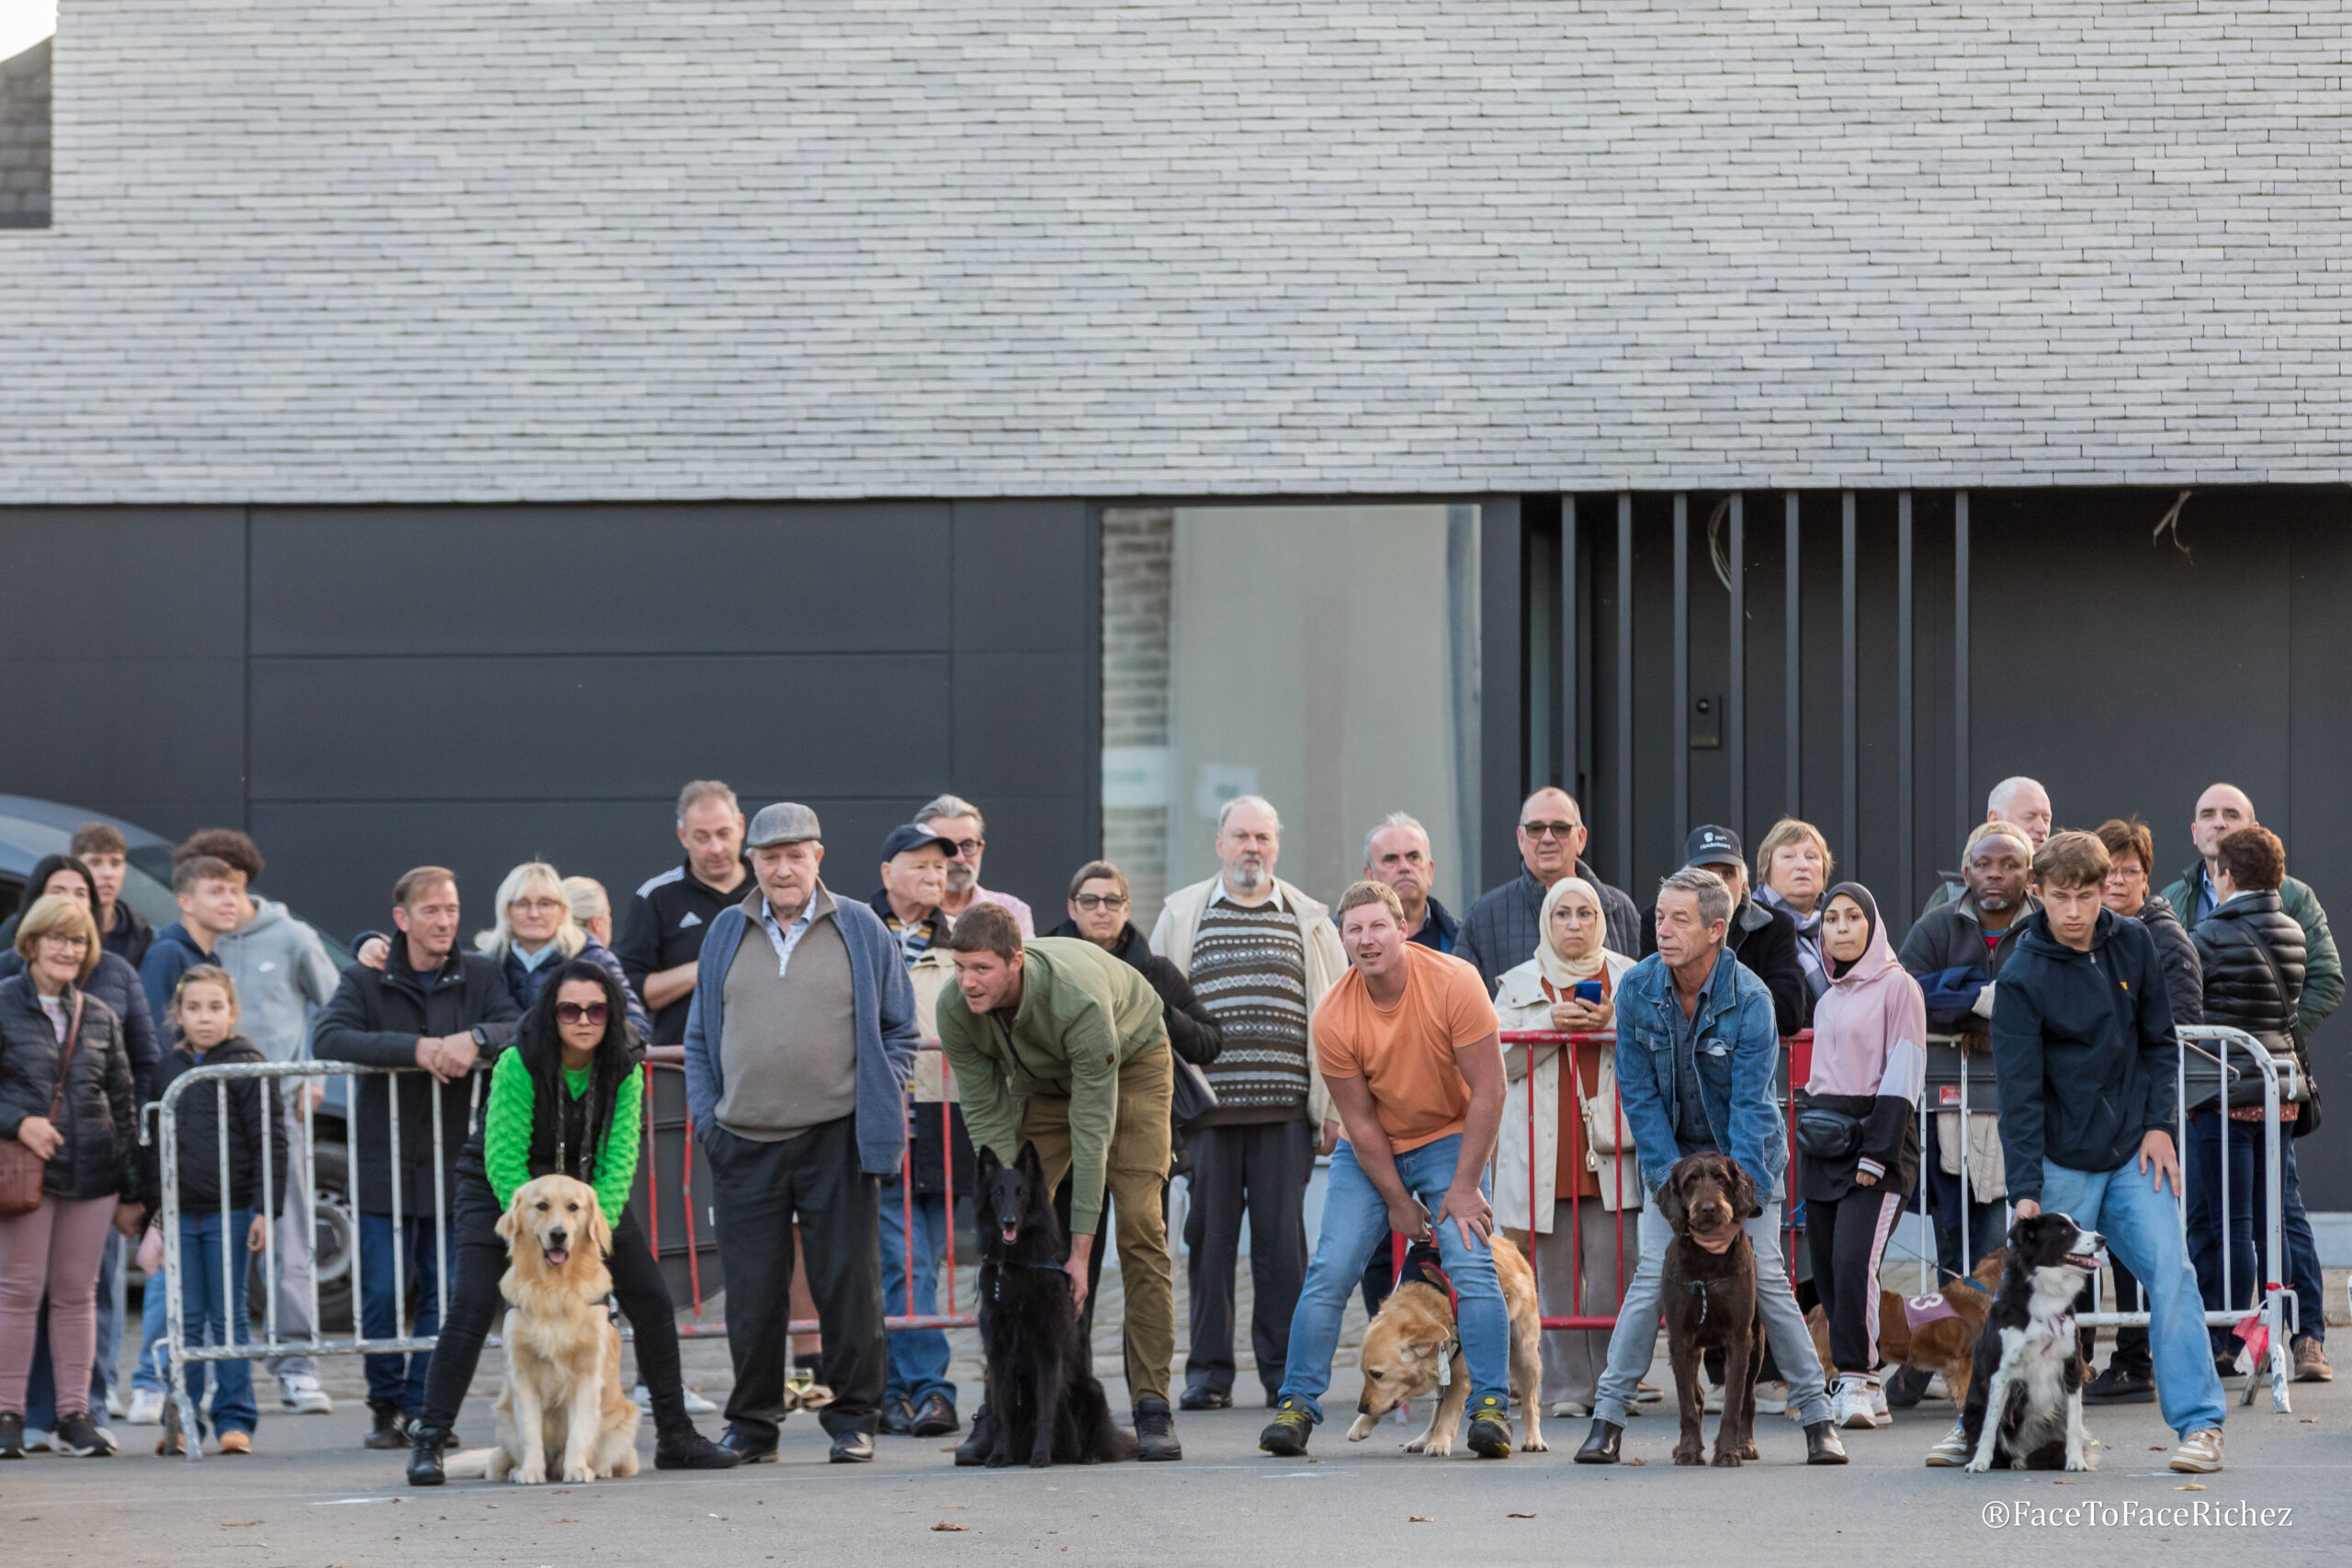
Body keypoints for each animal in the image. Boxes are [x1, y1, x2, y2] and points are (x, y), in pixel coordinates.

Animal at [442, 1175, 639, 1485]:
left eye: (573, 1207)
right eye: (542, 1206)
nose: (558, 1234)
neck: (554, 1288)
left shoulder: (587, 1375)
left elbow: (579, 1431)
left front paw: (577, 1468)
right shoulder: (523, 1376)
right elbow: (530, 1431)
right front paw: (531, 1471)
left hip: (625, 1422)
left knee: (620, 1459)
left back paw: (599, 1468)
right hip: (504, 1421)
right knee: (496, 1461)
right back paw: (513, 1469)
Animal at [973, 1142, 1138, 1476]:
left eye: (1022, 1193)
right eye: (998, 1192)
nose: (1008, 1221)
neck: (1016, 1264)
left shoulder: (1048, 1353)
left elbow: (1047, 1407)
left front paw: (1040, 1455)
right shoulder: (998, 1356)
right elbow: (1001, 1413)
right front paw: (999, 1454)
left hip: (1092, 1389)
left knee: (1099, 1437)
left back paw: (1088, 1454)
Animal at [1345, 1241, 1543, 1457]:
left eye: (1377, 1374)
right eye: (1365, 1373)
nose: (1361, 1408)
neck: (1426, 1310)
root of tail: (1507, 1243)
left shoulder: (1460, 1378)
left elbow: (1447, 1414)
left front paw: (1439, 1443)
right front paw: (1363, 1423)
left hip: (1525, 1356)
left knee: (1530, 1404)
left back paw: (1533, 1439)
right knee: (1436, 1412)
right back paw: (1422, 1439)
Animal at [1956, 1213, 2107, 1476]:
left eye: (2078, 1225)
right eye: (2064, 1231)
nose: (2102, 1240)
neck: (2047, 1294)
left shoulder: (2071, 1366)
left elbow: (2074, 1423)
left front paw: (2076, 1461)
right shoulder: (2001, 1372)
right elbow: (1990, 1425)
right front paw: (1980, 1461)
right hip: (1971, 1412)